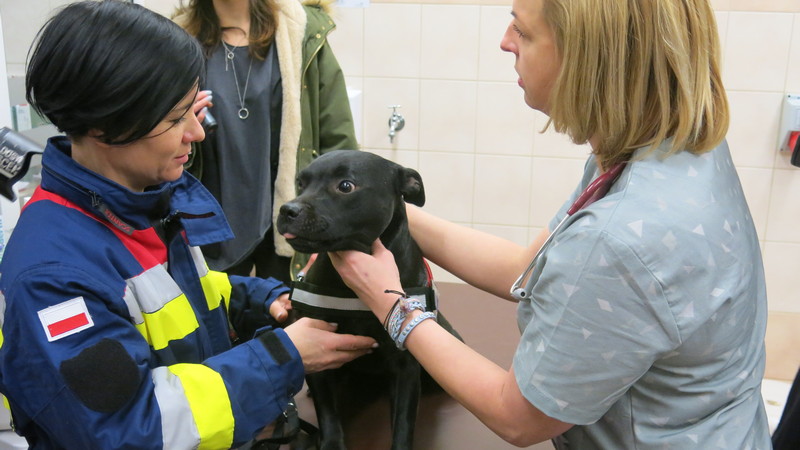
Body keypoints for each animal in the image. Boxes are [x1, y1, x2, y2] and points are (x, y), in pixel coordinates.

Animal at [276, 149, 460, 448]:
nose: (287, 209)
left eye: (345, 186)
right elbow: (328, 414)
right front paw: (331, 443)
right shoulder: (320, 349)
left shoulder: (405, 366)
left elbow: (403, 422)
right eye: (301, 183)